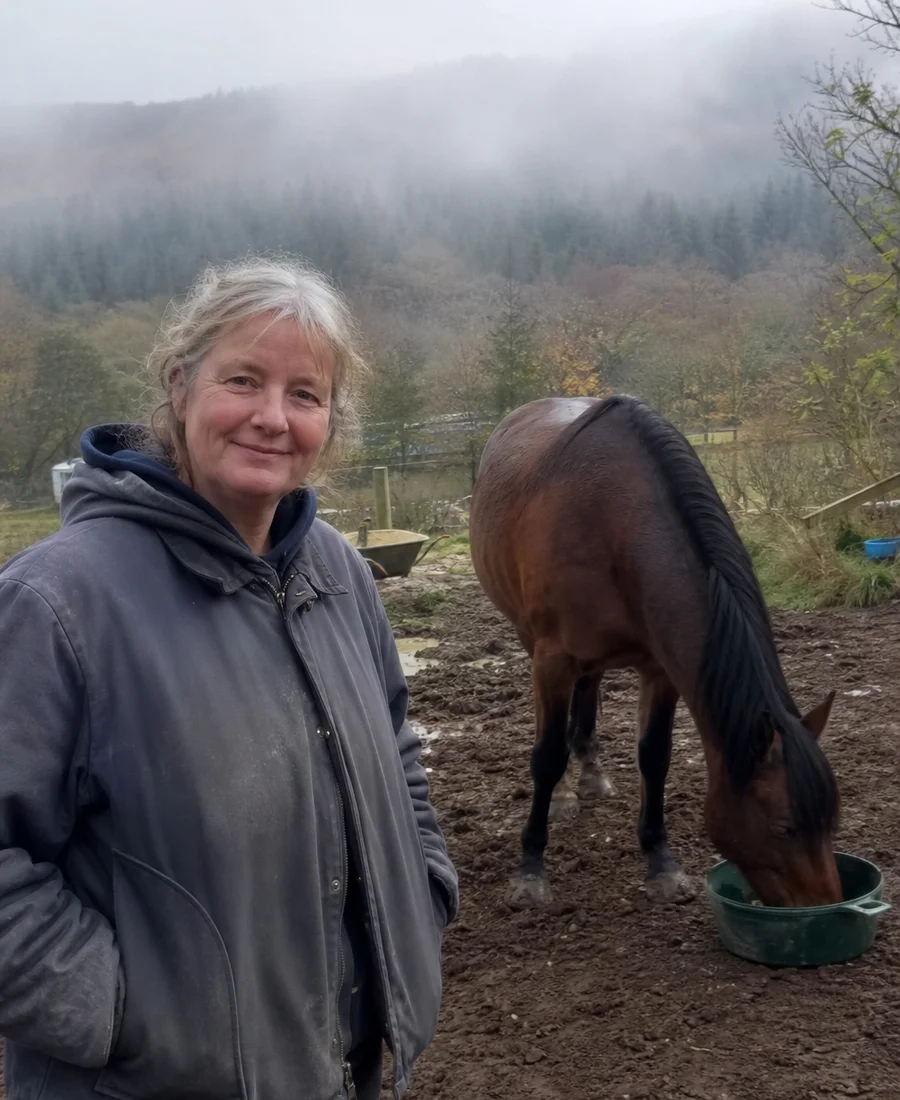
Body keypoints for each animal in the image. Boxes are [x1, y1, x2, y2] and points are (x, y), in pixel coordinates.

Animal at [468, 394, 841, 909]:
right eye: (784, 828)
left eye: (831, 820)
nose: (829, 908)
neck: (616, 525)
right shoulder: (552, 661)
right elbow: (545, 757)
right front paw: (530, 871)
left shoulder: (661, 670)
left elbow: (655, 756)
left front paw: (661, 862)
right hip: (530, 639)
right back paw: (564, 793)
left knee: (590, 689)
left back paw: (591, 770)